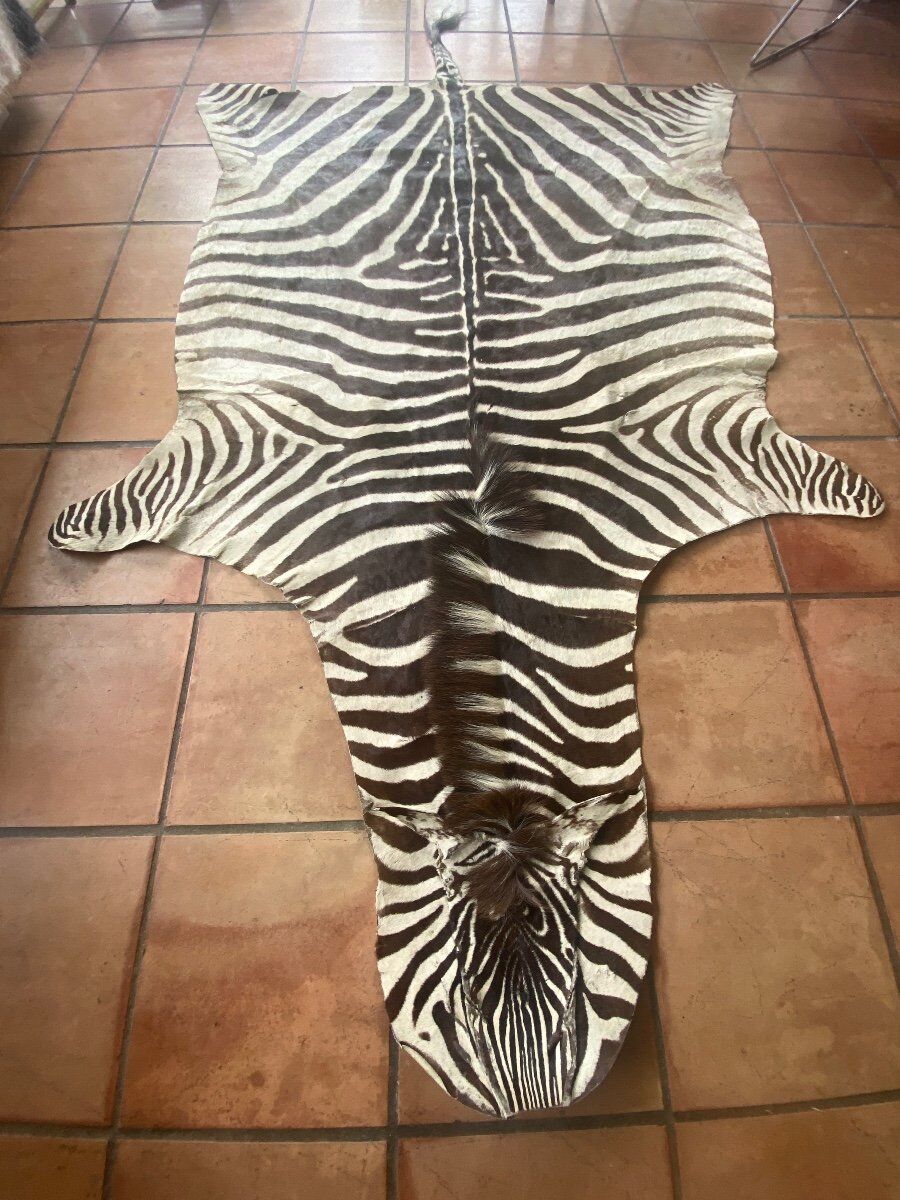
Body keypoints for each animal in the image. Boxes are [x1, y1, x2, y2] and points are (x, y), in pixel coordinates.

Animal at [49, 3, 884, 1118]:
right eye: (448, 1016)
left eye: (580, 1011)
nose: (528, 1112)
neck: (474, 557)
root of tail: (456, 98)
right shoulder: (232, 462)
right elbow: (116, 507)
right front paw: (68, 532)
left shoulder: (705, 441)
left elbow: (827, 480)